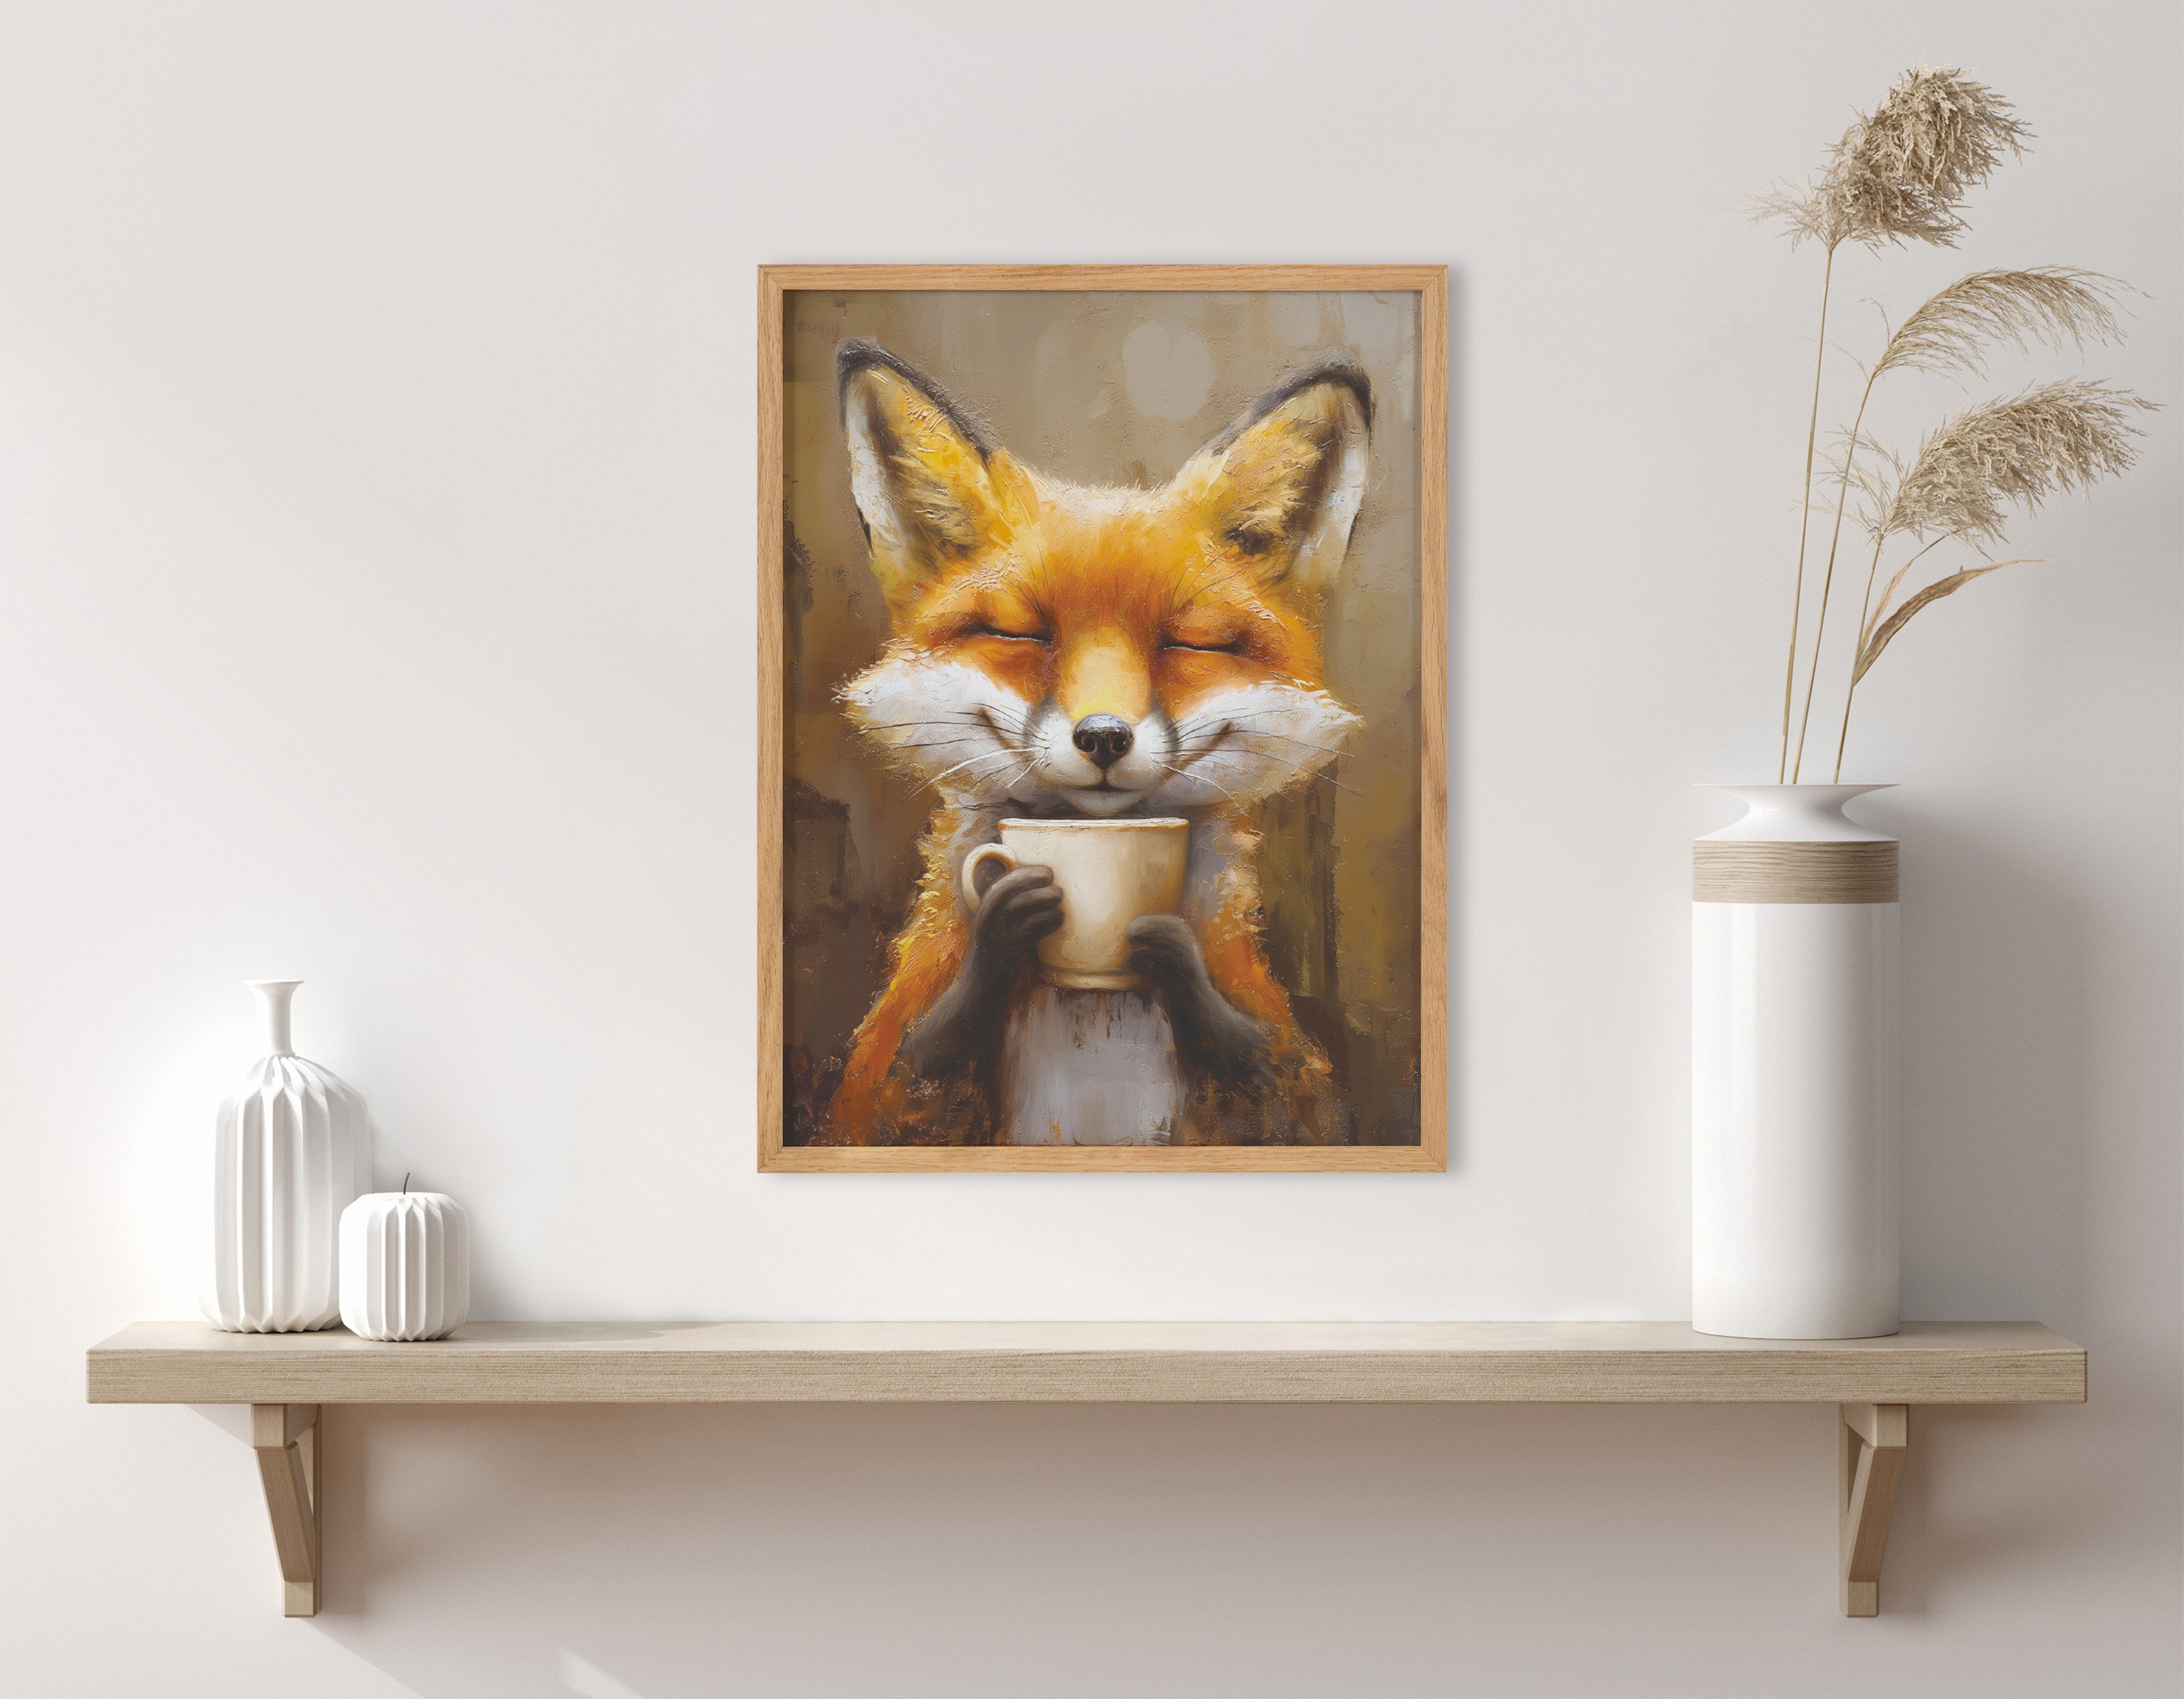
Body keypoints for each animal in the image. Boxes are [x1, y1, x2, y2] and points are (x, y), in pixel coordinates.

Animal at [819, 339, 1373, 1147]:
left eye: (1188, 642)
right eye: (1022, 634)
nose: (1104, 737)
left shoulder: (1291, 1096)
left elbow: (1271, 1085)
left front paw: (1173, 954)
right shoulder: (877, 1098)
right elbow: (907, 1084)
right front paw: (1001, 931)